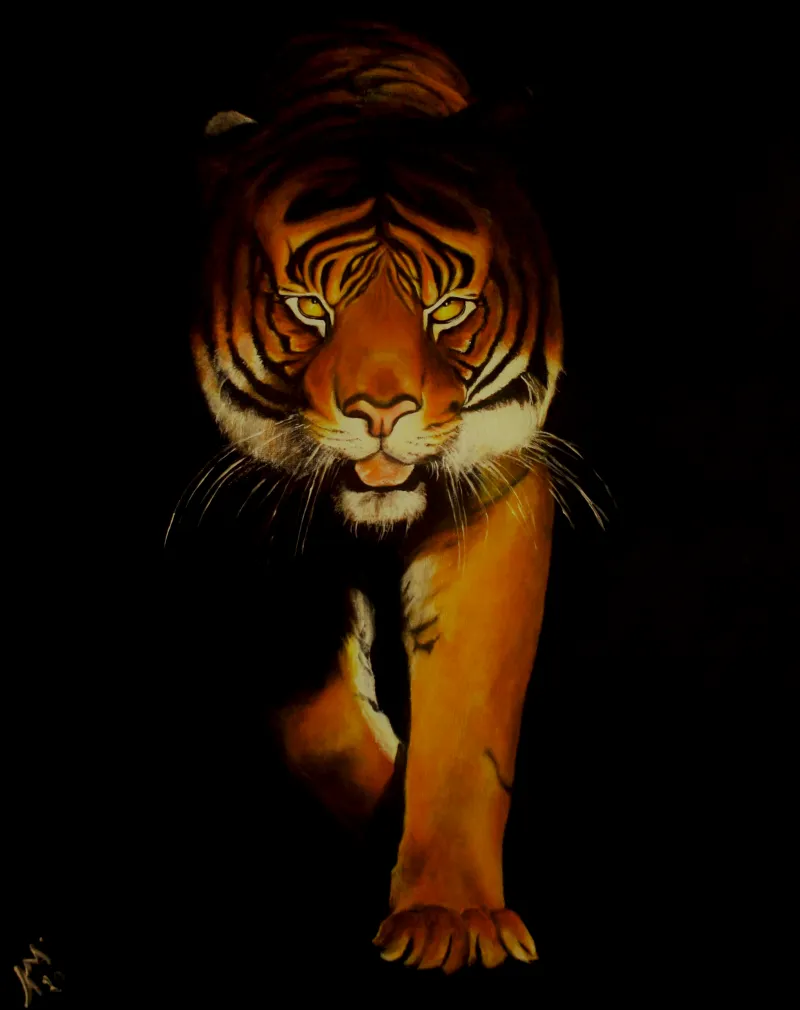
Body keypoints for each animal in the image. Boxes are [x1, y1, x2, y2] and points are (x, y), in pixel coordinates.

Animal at [187, 25, 564, 973]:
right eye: (307, 307)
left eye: (449, 308)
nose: (382, 411)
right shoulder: (257, 521)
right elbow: (318, 724)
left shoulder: (494, 498)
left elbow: (466, 720)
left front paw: (451, 919)